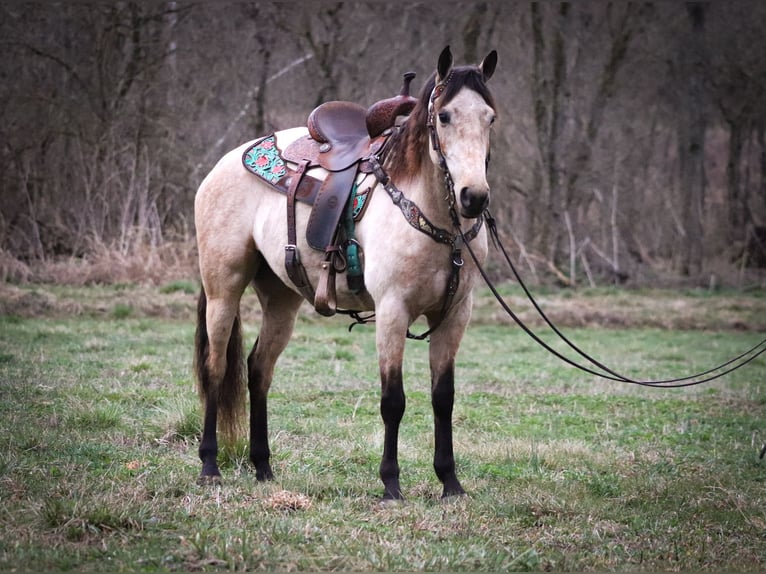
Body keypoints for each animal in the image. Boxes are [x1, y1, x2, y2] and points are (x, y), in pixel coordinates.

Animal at [195, 47, 500, 502]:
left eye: (490, 117)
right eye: (444, 116)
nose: (474, 197)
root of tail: (224, 163)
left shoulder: (454, 315)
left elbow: (442, 397)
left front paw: (450, 482)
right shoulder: (392, 311)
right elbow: (393, 400)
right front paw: (390, 484)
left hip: (281, 300)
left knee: (259, 370)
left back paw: (263, 467)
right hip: (223, 289)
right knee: (216, 367)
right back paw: (210, 465)